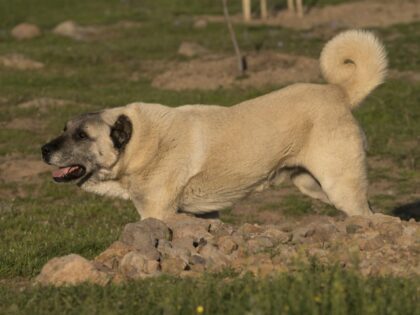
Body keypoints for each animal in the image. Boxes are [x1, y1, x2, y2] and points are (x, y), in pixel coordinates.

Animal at [41, 30, 388, 221]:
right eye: (64, 128)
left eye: (82, 135)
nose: (43, 149)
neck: (142, 143)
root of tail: (338, 92)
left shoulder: (157, 213)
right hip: (314, 185)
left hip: (340, 185)